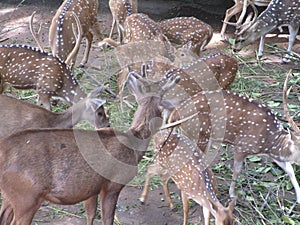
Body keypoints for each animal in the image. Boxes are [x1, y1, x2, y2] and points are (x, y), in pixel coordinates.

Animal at [0, 68, 180, 225]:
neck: (132, 145)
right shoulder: (112, 184)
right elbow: (107, 219)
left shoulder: (92, 188)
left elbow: (90, 214)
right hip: (26, 197)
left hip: (12, 196)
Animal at [168, 74, 300, 204]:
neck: (269, 142)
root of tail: (175, 114)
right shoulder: (241, 146)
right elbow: (237, 170)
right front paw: (232, 194)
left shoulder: (274, 154)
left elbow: (290, 169)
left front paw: (298, 198)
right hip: (199, 135)